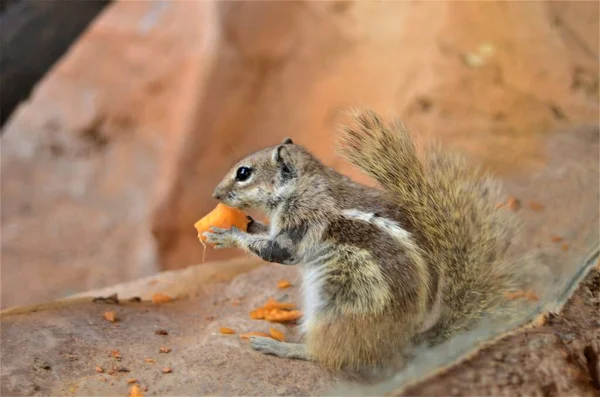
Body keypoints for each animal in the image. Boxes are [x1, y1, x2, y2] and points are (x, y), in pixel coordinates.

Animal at [204, 109, 524, 372]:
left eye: (243, 173)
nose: (215, 195)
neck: (303, 183)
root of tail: (404, 341)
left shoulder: (302, 221)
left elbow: (277, 250)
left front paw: (227, 234)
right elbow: (264, 234)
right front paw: (245, 223)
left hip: (335, 310)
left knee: (326, 355)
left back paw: (279, 346)